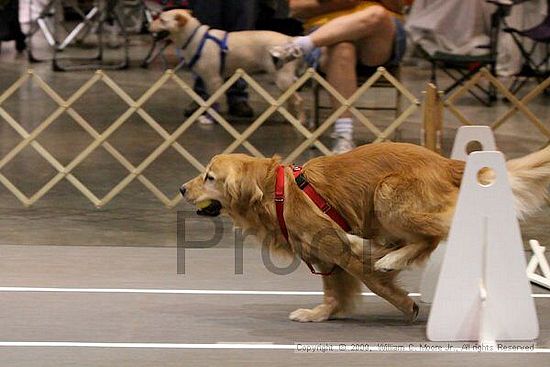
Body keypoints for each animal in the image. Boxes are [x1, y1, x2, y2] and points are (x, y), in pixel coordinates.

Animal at [150, 9, 306, 122]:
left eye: (162, 20)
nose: (147, 25)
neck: (195, 38)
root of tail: (290, 40)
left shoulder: (214, 79)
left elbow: (214, 102)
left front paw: (211, 118)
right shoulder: (206, 79)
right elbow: (208, 99)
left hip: (282, 79)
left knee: (299, 100)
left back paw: (300, 121)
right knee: (291, 100)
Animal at [182, 143, 550, 322]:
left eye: (209, 177)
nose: (182, 188)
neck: (276, 191)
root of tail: (448, 163)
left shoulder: (333, 246)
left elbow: (372, 280)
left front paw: (404, 304)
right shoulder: (325, 257)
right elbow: (334, 291)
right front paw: (322, 314)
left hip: (388, 194)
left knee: (431, 235)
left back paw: (389, 258)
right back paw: (381, 249)